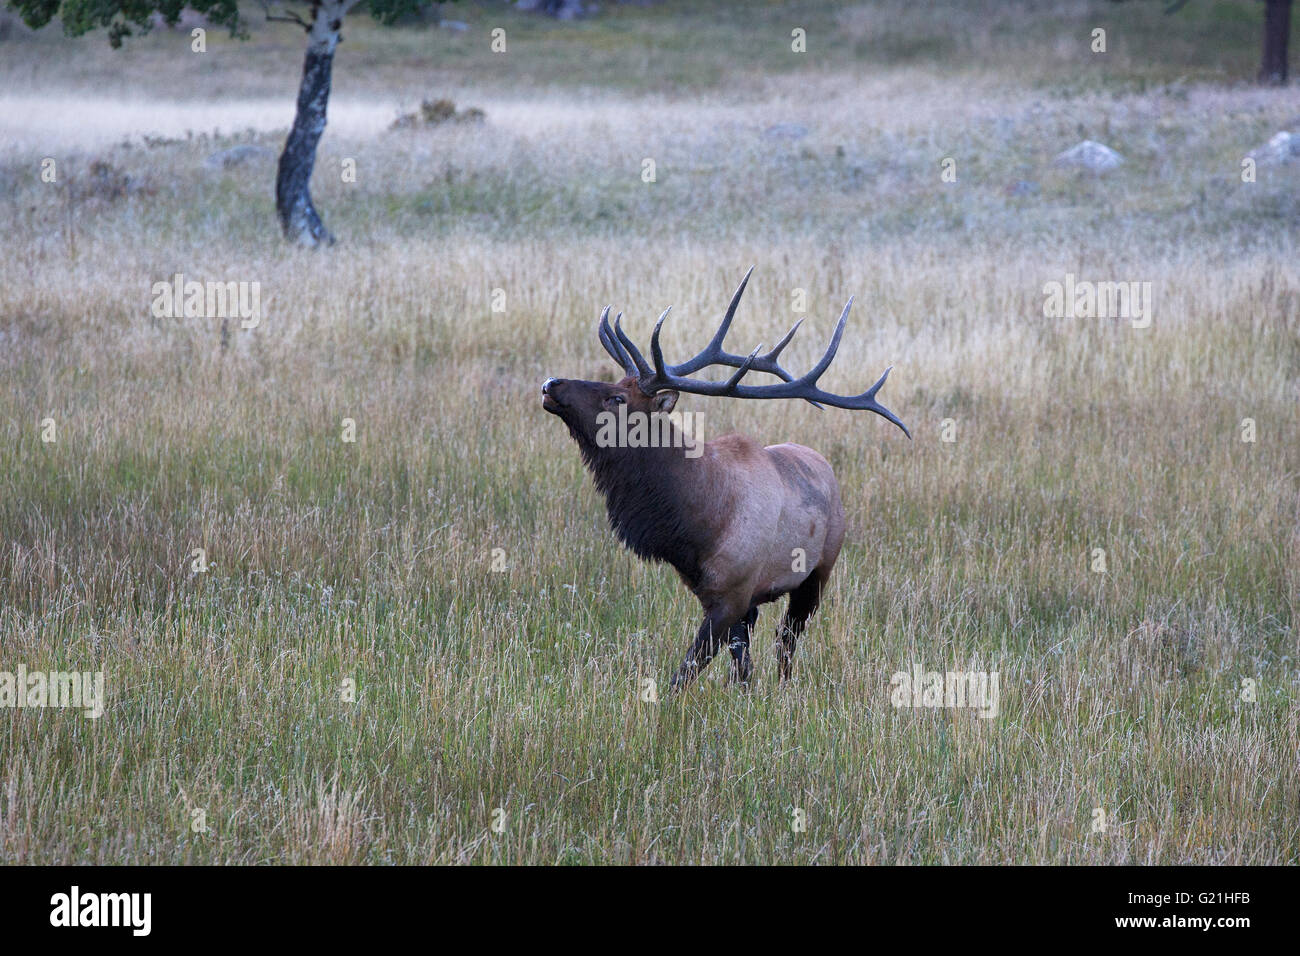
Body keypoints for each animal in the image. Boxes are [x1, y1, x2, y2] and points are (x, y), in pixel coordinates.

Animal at [541, 268, 909, 690]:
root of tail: (826, 467)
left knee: (786, 640)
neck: (698, 524)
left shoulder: (733, 593)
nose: (551, 383)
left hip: (818, 573)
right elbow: (738, 665)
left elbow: (685, 672)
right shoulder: (718, 593)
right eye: (615, 382)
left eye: (617, 398)